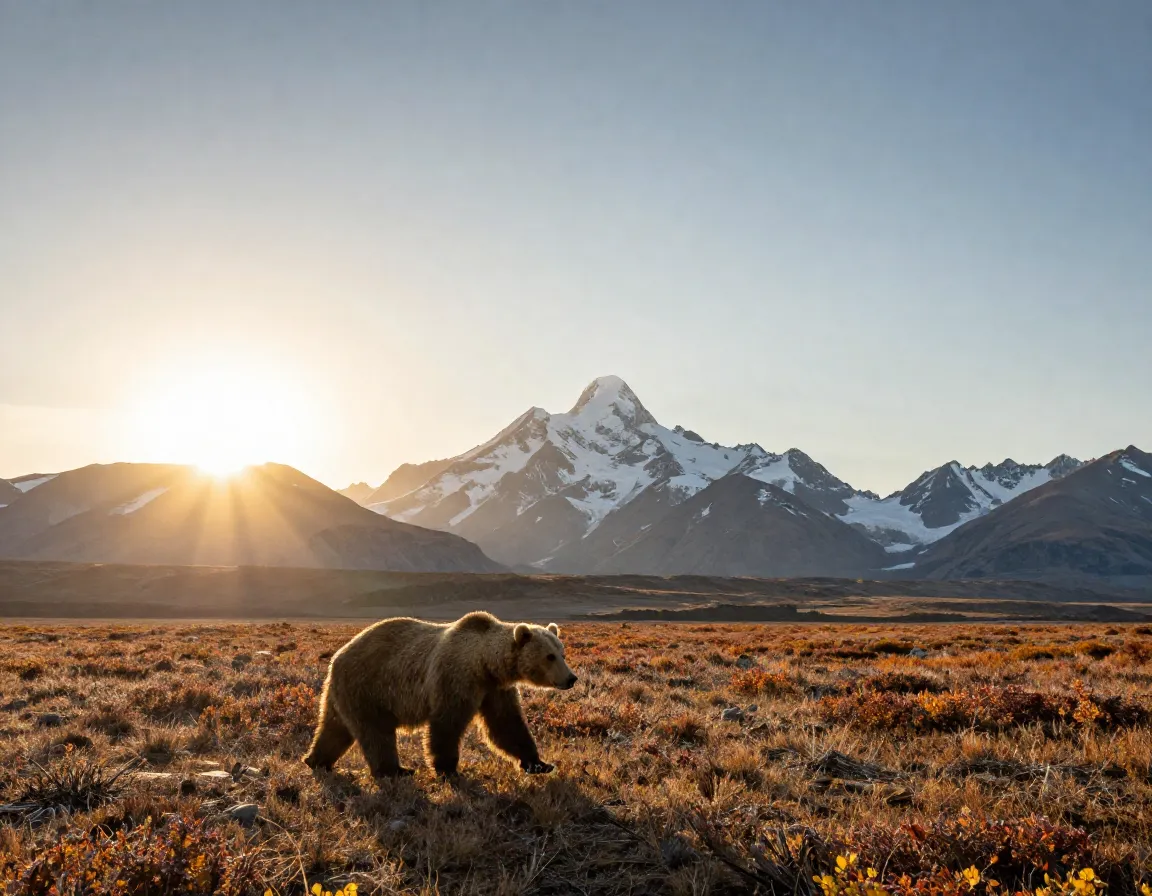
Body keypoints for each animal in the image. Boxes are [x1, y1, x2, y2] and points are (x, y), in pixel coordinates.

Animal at [303, 611, 577, 778]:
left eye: (562, 652)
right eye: (549, 656)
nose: (571, 678)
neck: (484, 663)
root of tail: (336, 657)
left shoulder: (494, 689)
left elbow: (506, 725)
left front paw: (539, 763)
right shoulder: (455, 678)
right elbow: (447, 724)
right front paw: (447, 769)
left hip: (340, 694)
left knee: (334, 728)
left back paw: (316, 760)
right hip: (368, 687)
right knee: (376, 732)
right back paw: (396, 770)